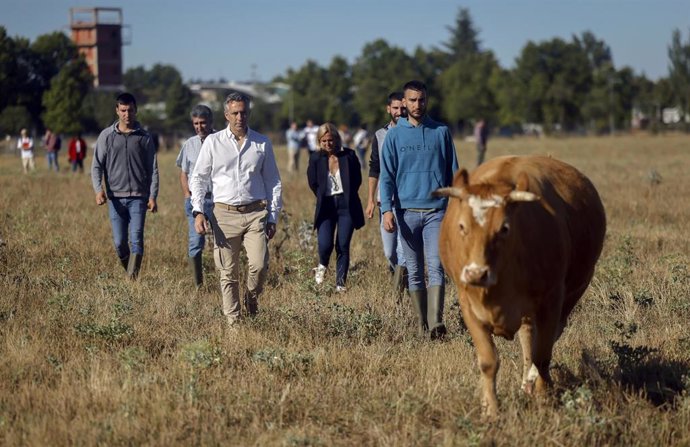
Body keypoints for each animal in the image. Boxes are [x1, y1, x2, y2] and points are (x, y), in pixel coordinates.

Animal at [432, 156, 604, 418]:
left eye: (504, 228)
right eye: (462, 226)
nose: (476, 273)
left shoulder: (551, 301)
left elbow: (542, 356)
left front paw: (544, 397)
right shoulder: (468, 305)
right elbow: (488, 361)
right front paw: (490, 409)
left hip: (571, 295)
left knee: (543, 343)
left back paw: (531, 382)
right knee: (527, 338)